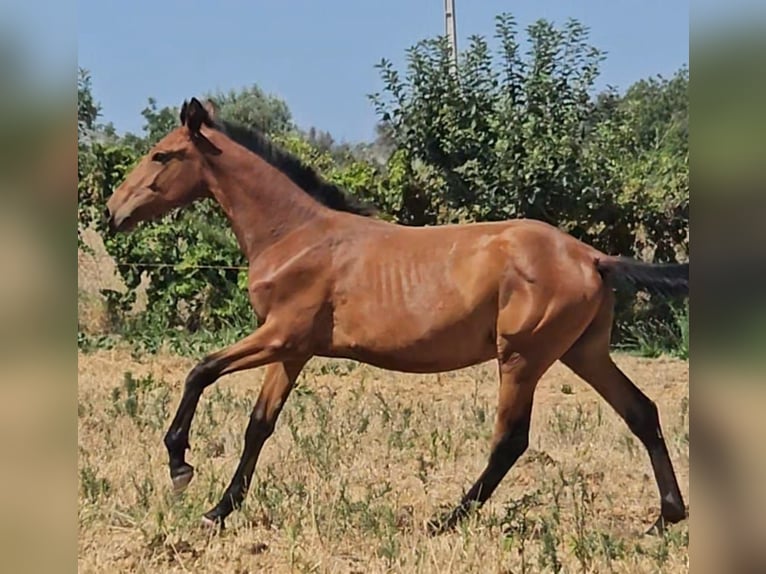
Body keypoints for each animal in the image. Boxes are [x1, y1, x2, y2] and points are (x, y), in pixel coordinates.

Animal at [103, 98, 688, 536]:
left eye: (161, 155)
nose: (112, 212)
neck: (295, 236)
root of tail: (592, 257)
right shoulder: (292, 351)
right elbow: (258, 426)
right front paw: (219, 511)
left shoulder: (280, 335)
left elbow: (200, 370)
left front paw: (180, 465)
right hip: (582, 352)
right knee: (641, 412)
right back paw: (667, 517)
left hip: (523, 357)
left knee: (510, 440)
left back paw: (446, 521)